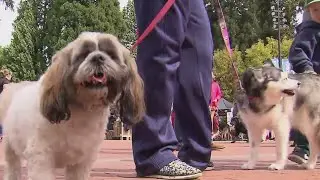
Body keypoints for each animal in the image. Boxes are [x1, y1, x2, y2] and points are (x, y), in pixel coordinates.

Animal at [0, 32, 145, 180]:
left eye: (111, 54)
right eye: (83, 55)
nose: (98, 57)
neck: (82, 109)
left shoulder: (82, 162)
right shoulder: (41, 156)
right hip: (9, 146)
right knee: (13, 167)